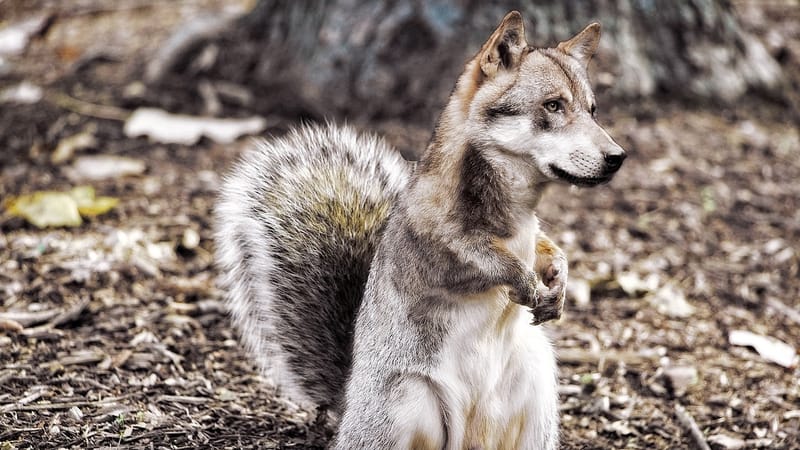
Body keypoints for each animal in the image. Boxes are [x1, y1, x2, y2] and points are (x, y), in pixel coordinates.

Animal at [215, 11, 625, 450]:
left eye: (593, 109)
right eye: (552, 105)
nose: (617, 157)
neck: (520, 206)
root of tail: (350, 405)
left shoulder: (532, 234)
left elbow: (548, 248)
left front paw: (559, 279)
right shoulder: (430, 241)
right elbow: (479, 257)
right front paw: (524, 280)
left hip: (535, 392)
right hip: (405, 405)